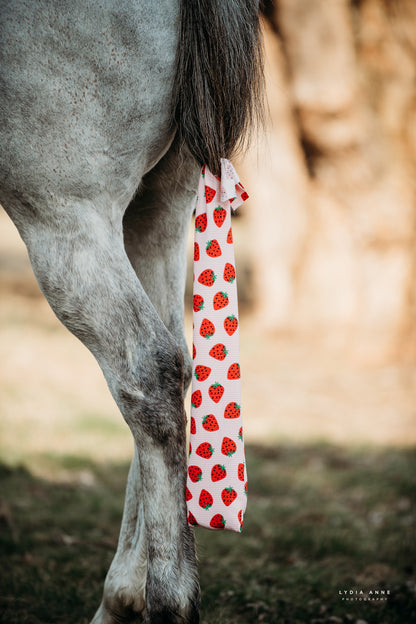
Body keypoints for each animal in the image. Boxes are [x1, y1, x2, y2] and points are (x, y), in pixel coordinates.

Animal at [0, 2, 262, 620]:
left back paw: (168, 599)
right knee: (175, 364)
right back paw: (124, 597)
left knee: (149, 369)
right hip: (162, 200)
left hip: (65, 211)